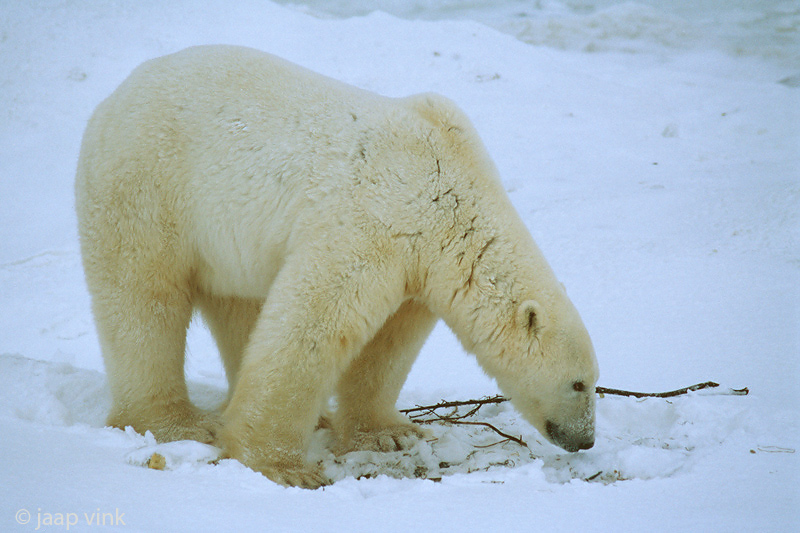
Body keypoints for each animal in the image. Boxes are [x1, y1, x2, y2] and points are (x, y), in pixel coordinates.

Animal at [76, 45, 600, 486]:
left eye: (594, 381)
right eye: (578, 383)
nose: (586, 438)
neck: (448, 191)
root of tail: (111, 99)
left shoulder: (420, 264)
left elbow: (388, 344)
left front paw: (392, 433)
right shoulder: (370, 223)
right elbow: (313, 325)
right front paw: (283, 467)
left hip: (223, 245)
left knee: (239, 307)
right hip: (147, 188)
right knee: (144, 301)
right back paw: (177, 423)